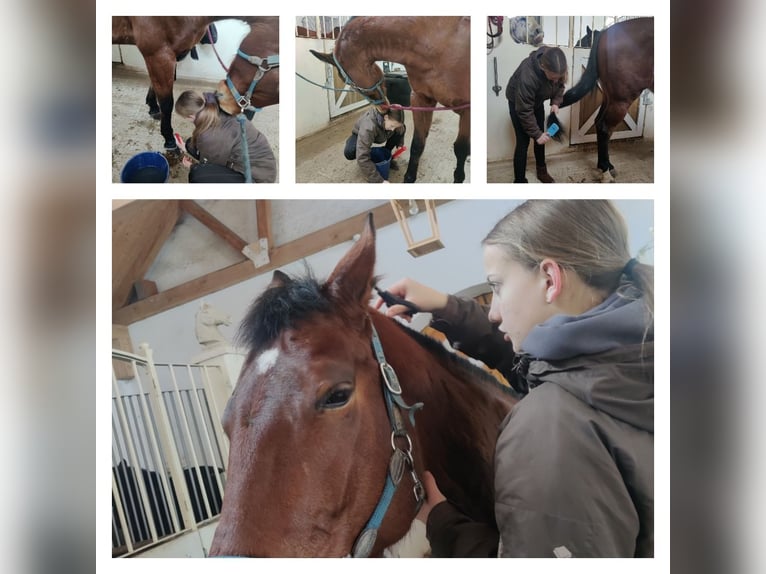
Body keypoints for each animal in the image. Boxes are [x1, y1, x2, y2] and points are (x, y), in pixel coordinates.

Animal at [112, 18, 280, 152]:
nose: (222, 96)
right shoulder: (158, 53)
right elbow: (167, 103)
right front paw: (169, 139)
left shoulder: (170, 53)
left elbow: (156, 84)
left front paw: (153, 106)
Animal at [310, 17, 468, 184]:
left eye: (351, 83)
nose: (383, 108)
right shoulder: (421, 99)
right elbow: (418, 143)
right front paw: (409, 177)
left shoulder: (467, 110)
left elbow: (461, 149)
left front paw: (459, 178)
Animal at [560, 17, 656, 178]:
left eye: (584, 40)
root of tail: (607, 32)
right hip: (620, 100)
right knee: (605, 128)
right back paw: (605, 167)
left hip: (609, 97)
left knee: (599, 123)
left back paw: (605, 165)